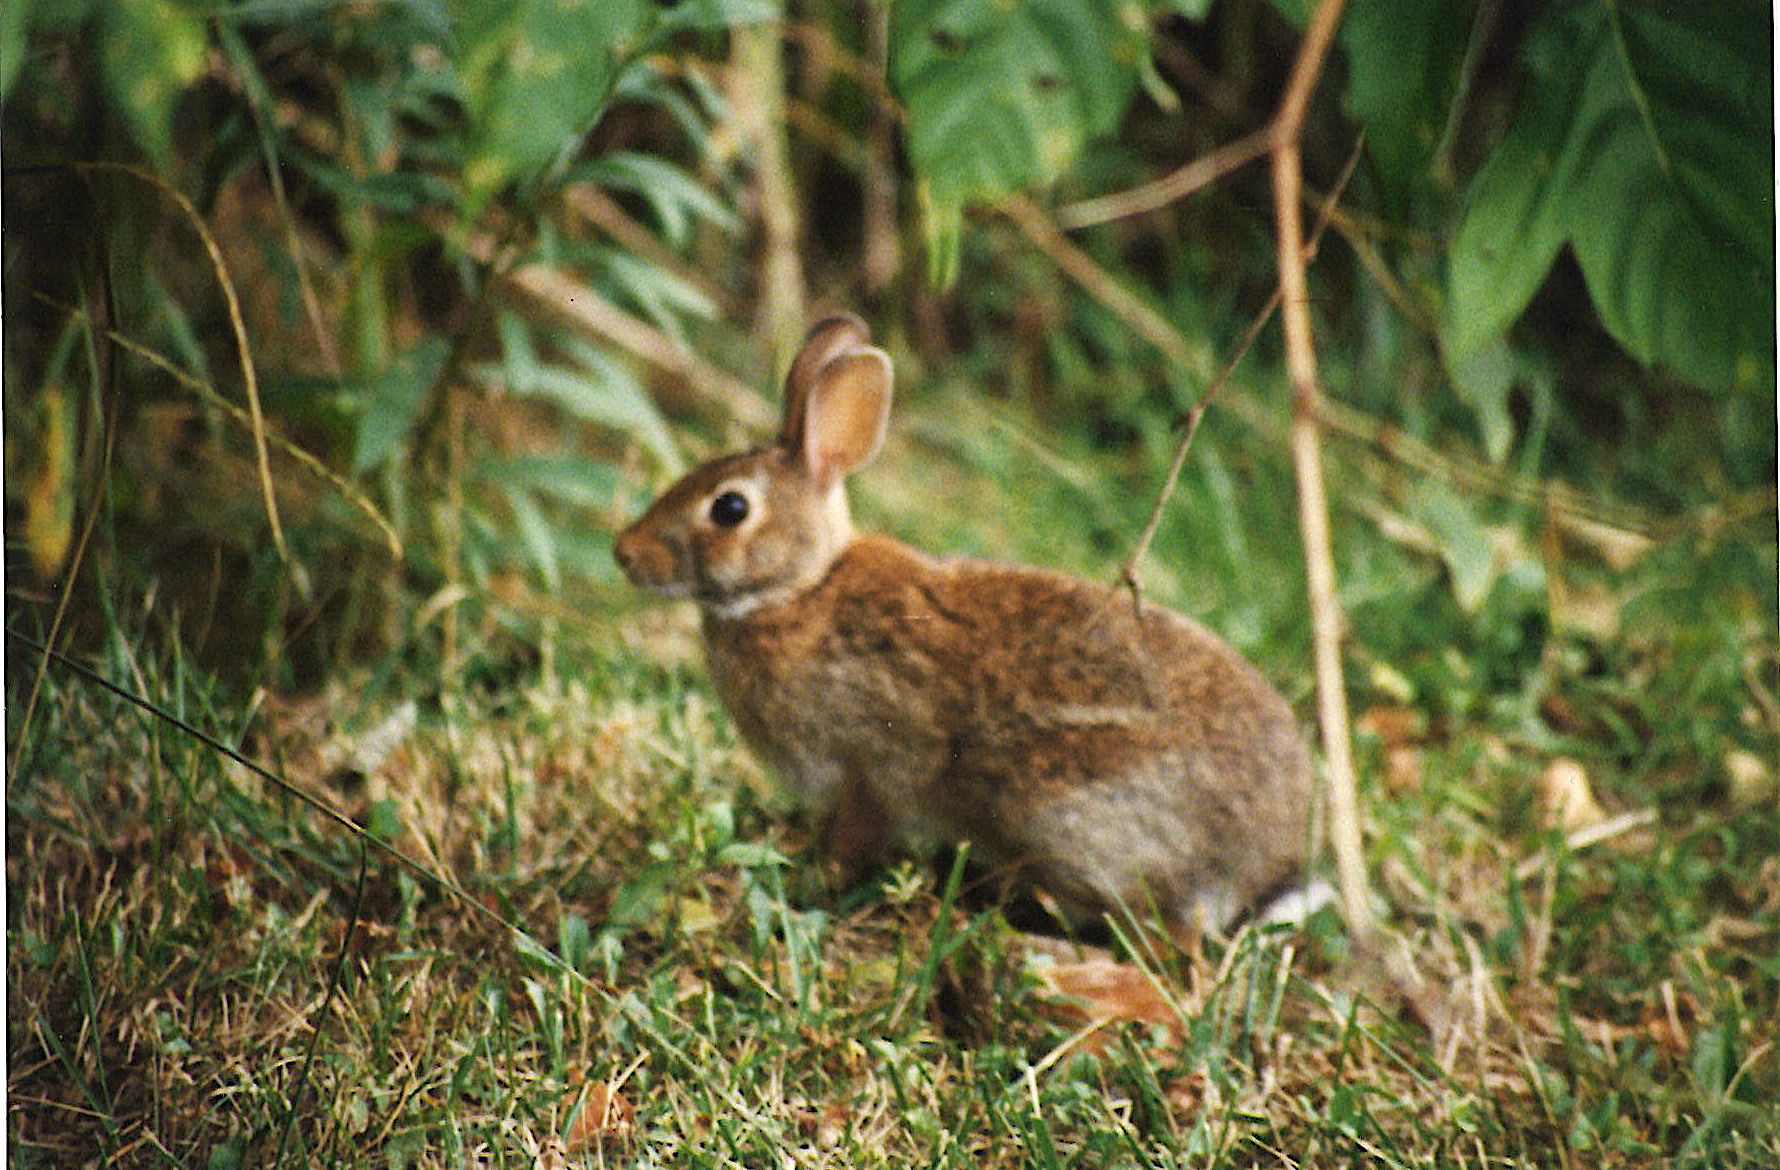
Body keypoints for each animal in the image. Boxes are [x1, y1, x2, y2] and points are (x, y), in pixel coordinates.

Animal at [615, 313, 1327, 934]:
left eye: (730, 508)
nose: (624, 552)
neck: (801, 588)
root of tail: (1267, 864)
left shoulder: (870, 765)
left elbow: (857, 832)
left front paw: (812, 885)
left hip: (1064, 814)